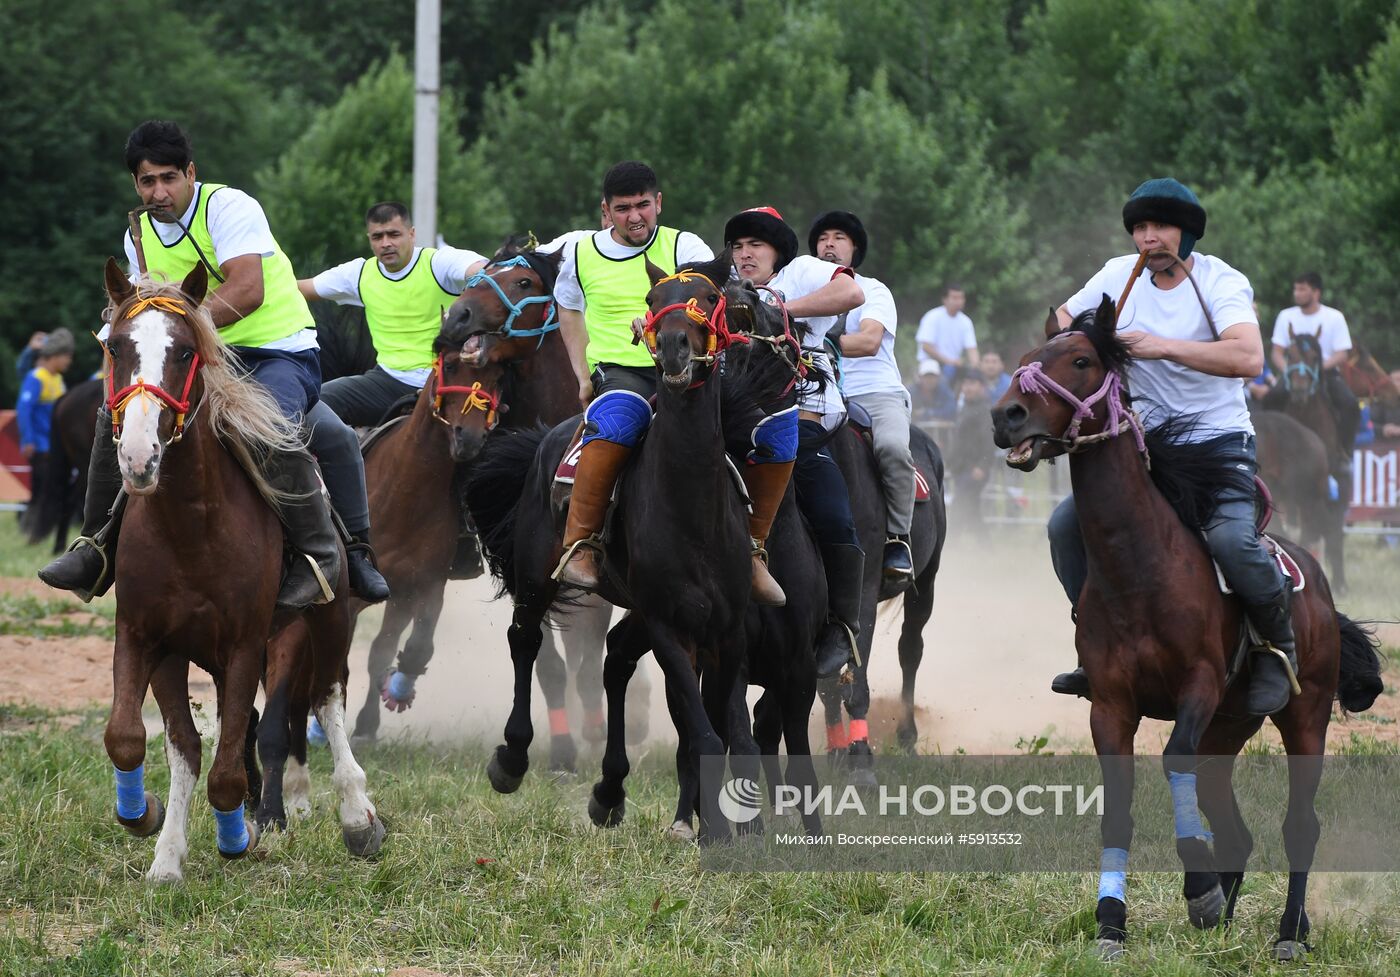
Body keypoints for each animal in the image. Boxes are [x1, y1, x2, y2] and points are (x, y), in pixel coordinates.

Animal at [93, 257, 383, 873]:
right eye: (116, 347)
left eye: (184, 352)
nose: (138, 457)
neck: (190, 529)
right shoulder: (148, 638)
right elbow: (145, 741)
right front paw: (158, 841)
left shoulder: (248, 643)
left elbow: (226, 768)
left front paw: (237, 836)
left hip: (327, 618)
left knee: (327, 698)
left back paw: (356, 816)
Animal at [467, 254, 756, 839]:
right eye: (652, 300)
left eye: (709, 297)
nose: (674, 346)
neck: (694, 508)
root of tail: (546, 437)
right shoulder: (670, 625)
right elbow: (705, 733)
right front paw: (713, 829)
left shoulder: (728, 629)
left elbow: (735, 733)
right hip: (537, 576)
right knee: (525, 641)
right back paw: (513, 758)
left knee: (616, 660)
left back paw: (609, 791)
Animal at [817, 419, 946, 783]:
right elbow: (828, 683)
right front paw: (836, 751)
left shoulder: (861, 595)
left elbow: (856, 681)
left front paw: (860, 761)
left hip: (926, 583)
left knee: (910, 650)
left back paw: (907, 737)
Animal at [991, 292, 1383, 957]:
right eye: (1023, 359)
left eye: (1080, 360)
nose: (1006, 415)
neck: (1140, 566)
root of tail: (1315, 581)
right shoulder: (1111, 705)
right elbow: (1117, 810)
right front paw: (1112, 924)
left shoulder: (1197, 686)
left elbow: (1172, 757)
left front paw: (1196, 885)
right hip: (1227, 730)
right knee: (1235, 825)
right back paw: (1231, 919)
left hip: (1304, 717)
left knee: (1299, 824)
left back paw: (1288, 931)